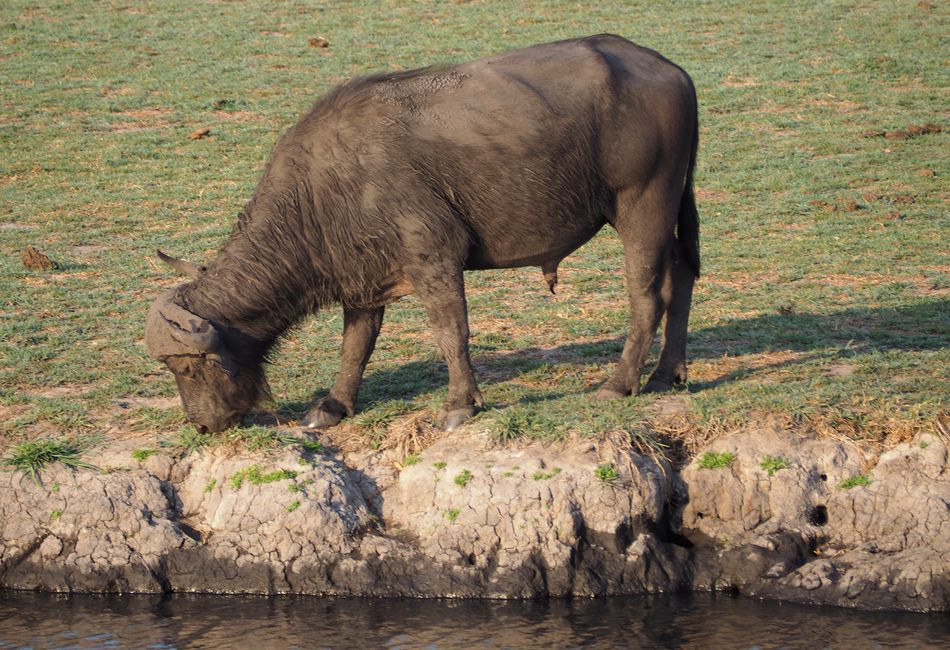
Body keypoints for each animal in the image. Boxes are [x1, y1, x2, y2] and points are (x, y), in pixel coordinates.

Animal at [143, 33, 700, 432]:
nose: (202, 426)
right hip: (672, 207)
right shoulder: (361, 281)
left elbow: (452, 333)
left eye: (188, 369)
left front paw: (459, 405)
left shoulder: (435, 259)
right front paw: (334, 405)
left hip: (642, 206)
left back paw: (621, 382)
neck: (319, 193)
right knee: (682, 278)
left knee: (648, 295)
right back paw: (666, 373)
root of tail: (672, 71)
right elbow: (355, 346)